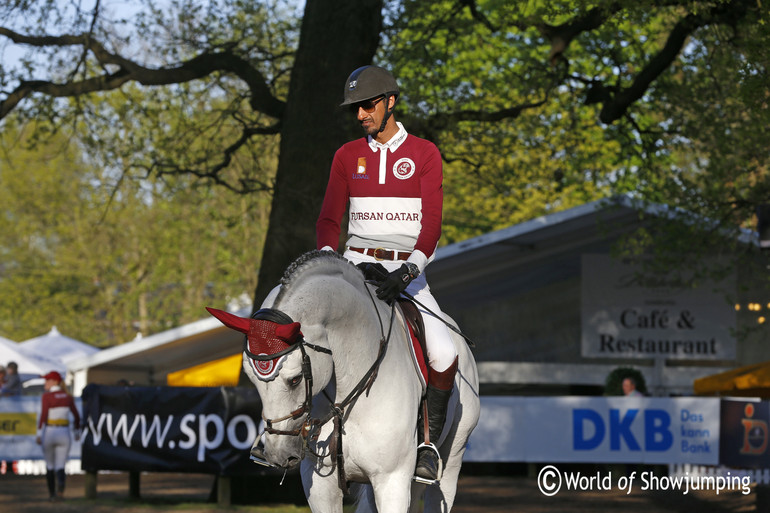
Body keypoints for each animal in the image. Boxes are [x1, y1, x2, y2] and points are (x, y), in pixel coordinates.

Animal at [207, 250, 476, 510]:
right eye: (253, 380)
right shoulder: (320, 486)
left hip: (451, 460)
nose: (278, 454)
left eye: (295, 380)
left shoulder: (393, 481)